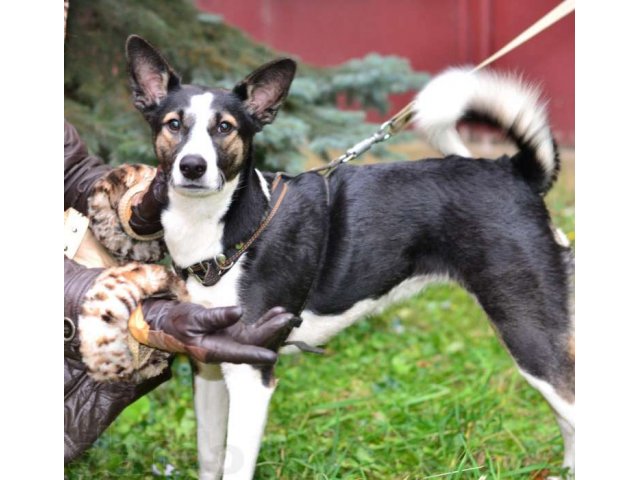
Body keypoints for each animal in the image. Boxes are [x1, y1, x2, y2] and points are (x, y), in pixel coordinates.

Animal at [125, 35, 576, 478]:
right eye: (174, 124)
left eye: (225, 128)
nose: (193, 166)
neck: (225, 233)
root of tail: (514, 170)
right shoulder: (207, 366)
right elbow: (210, 457)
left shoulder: (251, 375)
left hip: (528, 329)